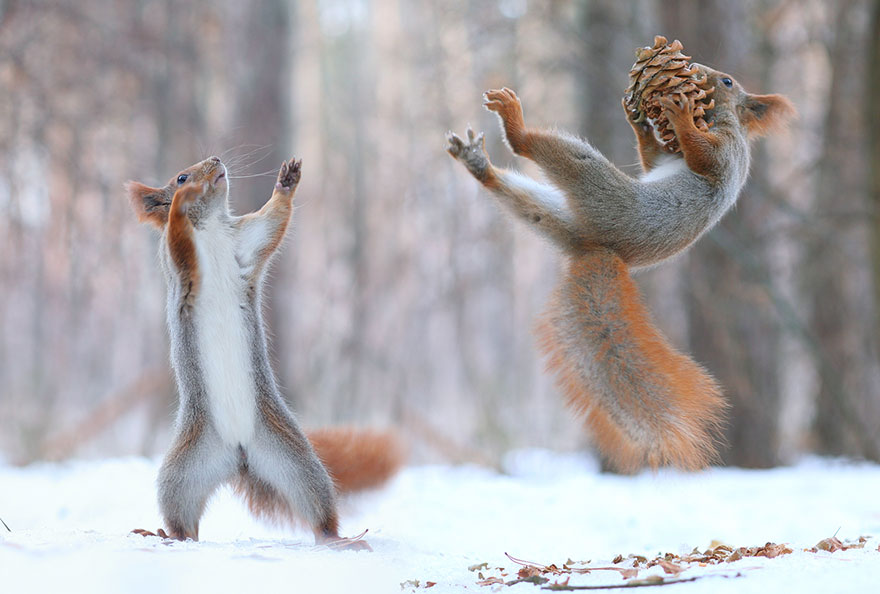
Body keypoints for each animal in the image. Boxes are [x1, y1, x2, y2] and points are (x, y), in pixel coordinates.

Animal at [125, 156, 403, 547]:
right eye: (180, 177)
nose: (216, 161)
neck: (210, 226)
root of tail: (239, 454)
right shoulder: (179, 263)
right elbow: (178, 238)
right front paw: (181, 203)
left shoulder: (246, 242)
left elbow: (272, 222)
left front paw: (287, 182)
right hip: (182, 471)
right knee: (184, 520)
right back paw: (167, 534)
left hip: (294, 460)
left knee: (317, 507)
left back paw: (339, 539)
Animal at [446, 64, 794, 472]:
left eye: (726, 82)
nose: (698, 72)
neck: (716, 119)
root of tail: (599, 248)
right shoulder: (665, 159)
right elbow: (652, 160)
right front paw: (640, 123)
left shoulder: (726, 152)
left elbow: (703, 157)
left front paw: (678, 115)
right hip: (552, 214)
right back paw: (478, 164)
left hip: (599, 187)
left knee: (535, 149)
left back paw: (514, 124)